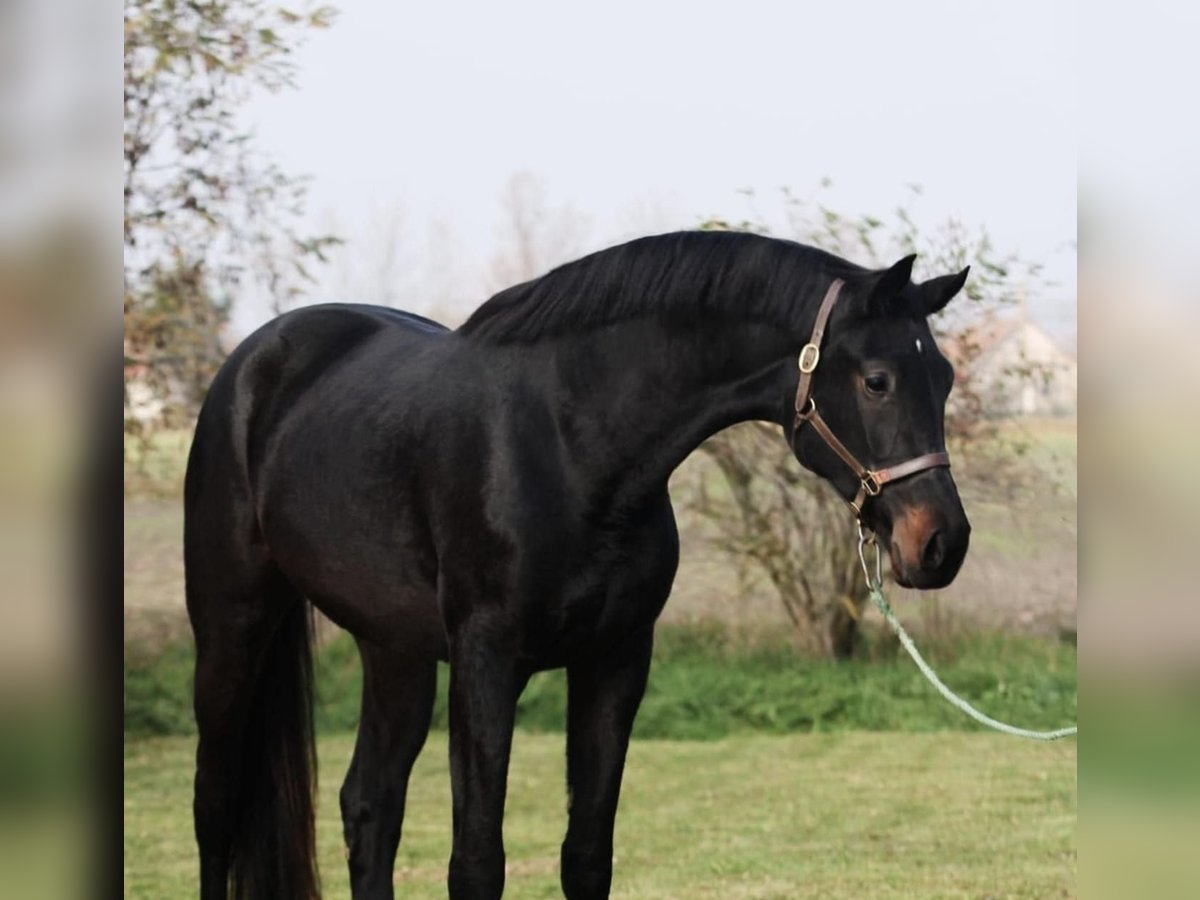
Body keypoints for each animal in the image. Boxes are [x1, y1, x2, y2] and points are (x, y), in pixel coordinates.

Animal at [187, 229, 974, 897]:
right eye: (877, 380)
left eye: (944, 376)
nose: (942, 543)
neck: (570, 443)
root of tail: (254, 362)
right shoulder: (485, 662)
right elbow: (477, 862)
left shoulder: (616, 660)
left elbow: (587, 855)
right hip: (232, 628)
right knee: (215, 807)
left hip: (394, 651)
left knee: (369, 807)